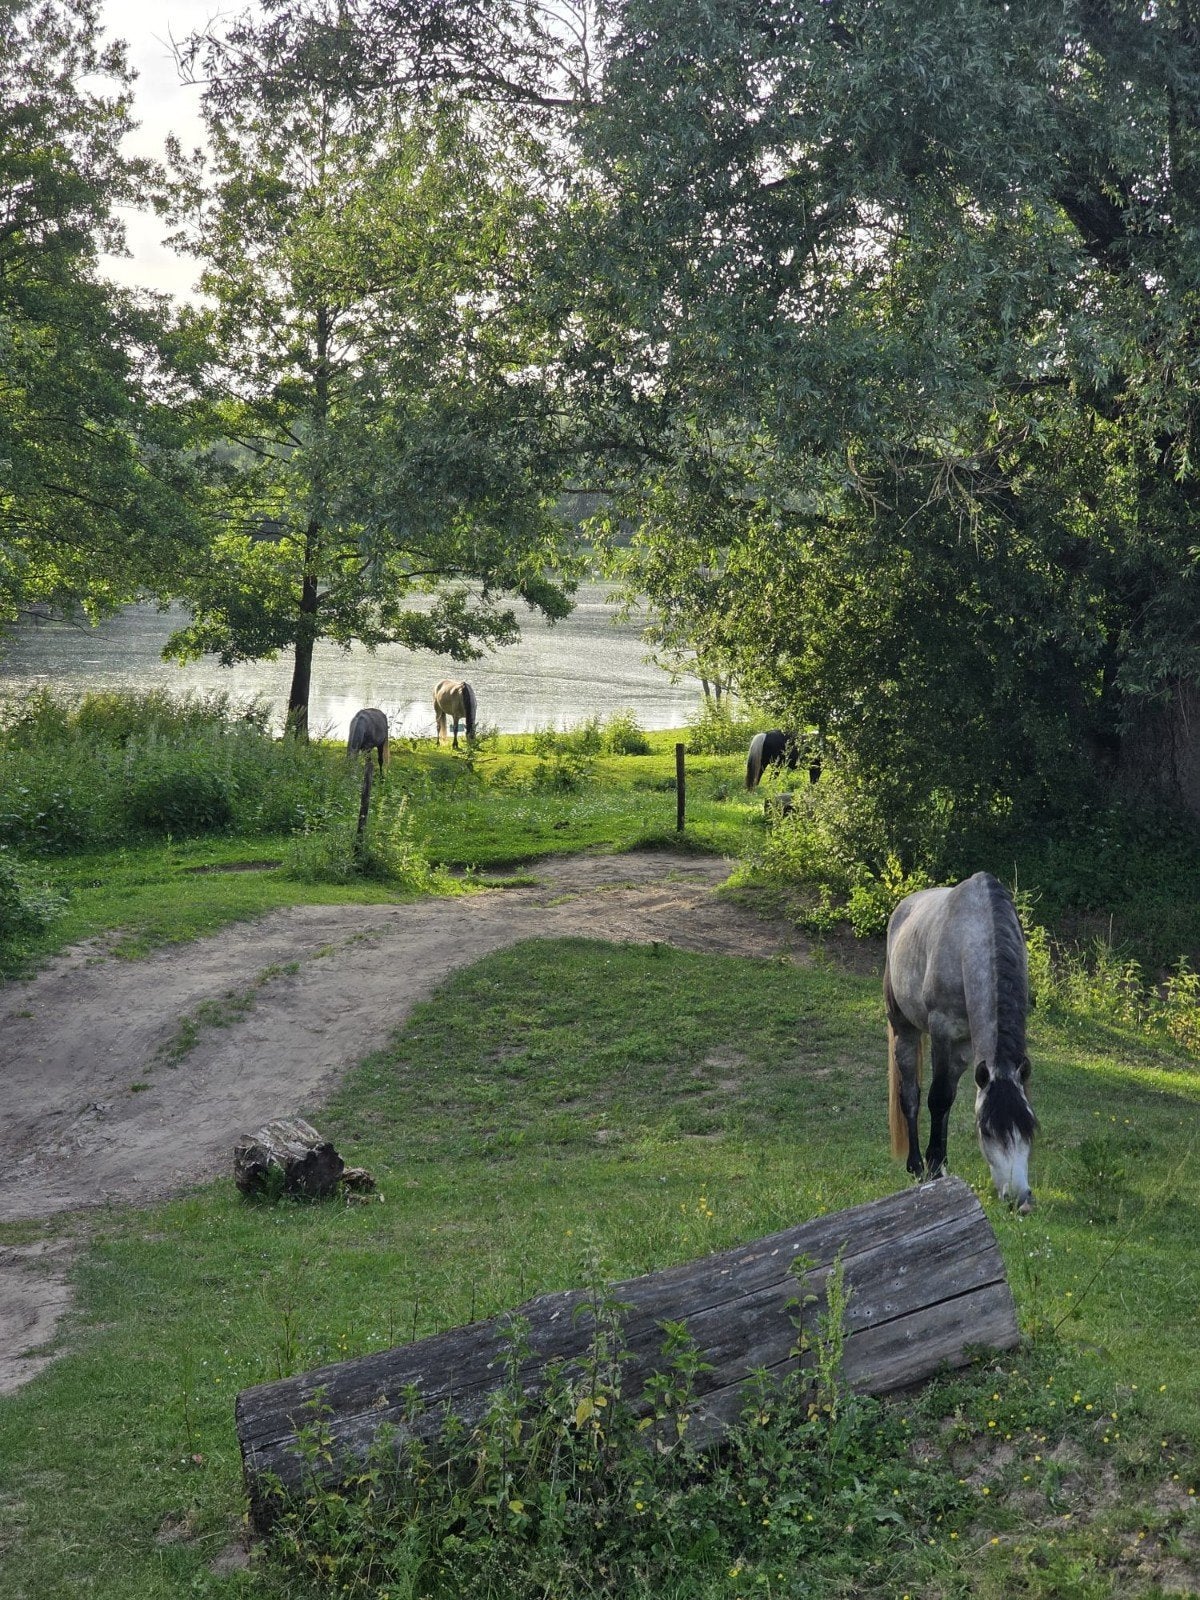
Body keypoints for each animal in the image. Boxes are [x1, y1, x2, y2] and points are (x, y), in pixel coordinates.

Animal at [884, 870, 1036, 1212]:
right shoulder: (943, 1030)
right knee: (910, 1096)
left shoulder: (966, 1046)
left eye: (1029, 1127)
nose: (1019, 1200)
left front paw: (940, 1163)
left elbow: (949, 1099)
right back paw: (915, 1165)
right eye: (987, 1131)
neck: (970, 938)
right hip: (905, 1029)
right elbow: (937, 1098)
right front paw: (931, 1168)